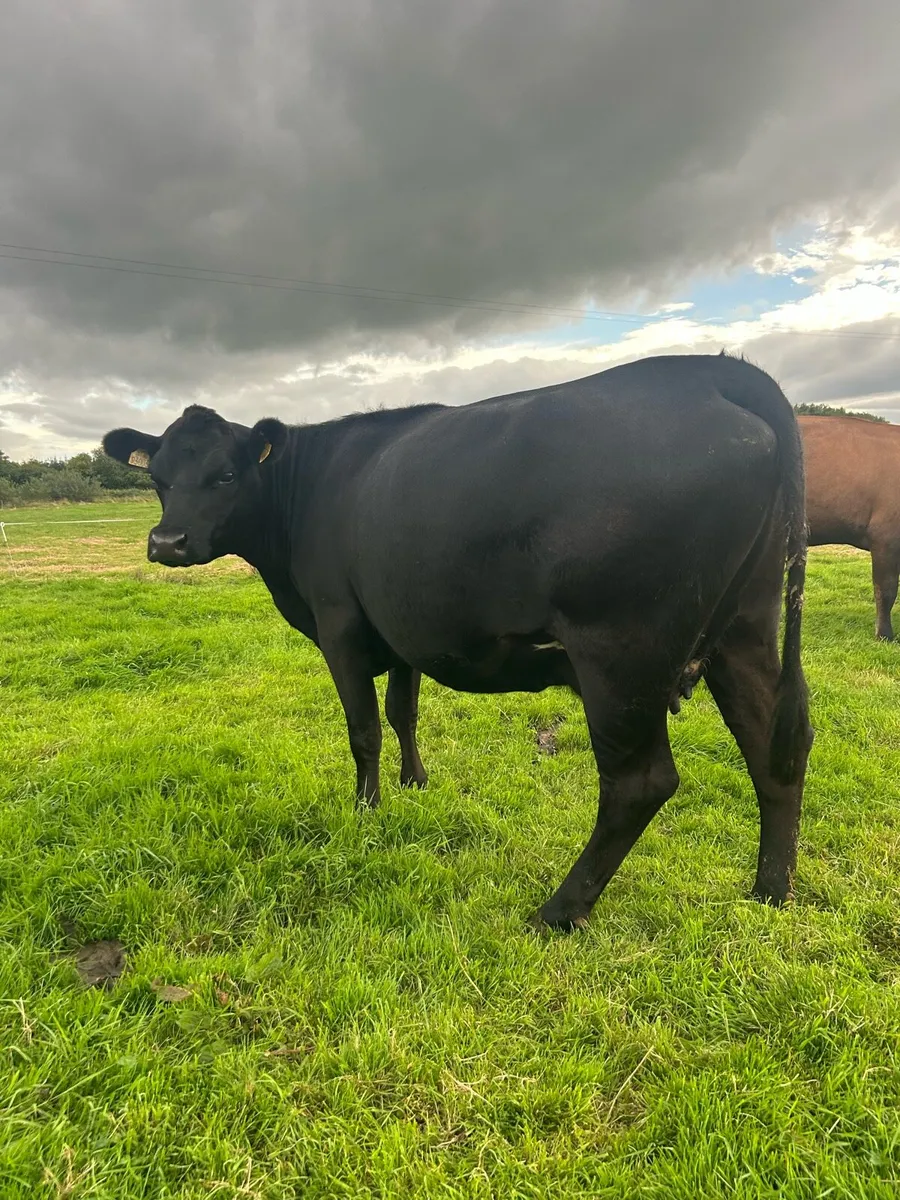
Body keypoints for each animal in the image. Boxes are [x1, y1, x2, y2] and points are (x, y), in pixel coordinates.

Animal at [103, 352, 813, 931]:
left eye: (226, 474)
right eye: (157, 477)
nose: (166, 542)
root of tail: (707, 371)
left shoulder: (340, 627)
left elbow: (362, 728)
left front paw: (366, 811)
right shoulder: (402, 629)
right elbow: (402, 711)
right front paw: (415, 784)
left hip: (621, 652)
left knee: (640, 783)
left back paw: (558, 910)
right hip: (745, 627)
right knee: (775, 747)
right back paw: (769, 892)